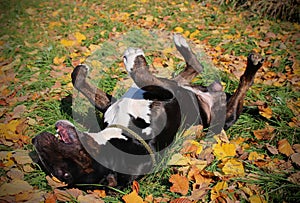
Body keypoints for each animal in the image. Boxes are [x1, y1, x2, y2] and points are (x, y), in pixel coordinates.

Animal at [31, 34, 264, 186]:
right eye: (63, 173)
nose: (35, 141)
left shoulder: (113, 103)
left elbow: (79, 80)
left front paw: (83, 68)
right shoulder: (163, 96)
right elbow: (140, 75)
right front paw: (133, 57)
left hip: (179, 86)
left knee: (191, 70)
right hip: (222, 113)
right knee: (236, 81)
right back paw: (251, 66)